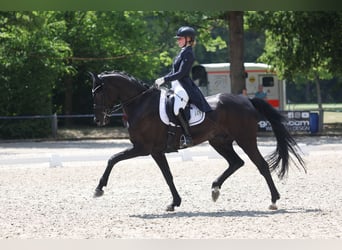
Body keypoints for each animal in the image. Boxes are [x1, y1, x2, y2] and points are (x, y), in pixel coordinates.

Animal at [90, 70, 304, 211]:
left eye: (98, 92)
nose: (99, 120)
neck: (141, 104)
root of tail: (246, 100)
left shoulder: (144, 148)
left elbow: (113, 159)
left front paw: (98, 189)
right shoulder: (154, 151)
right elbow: (167, 175)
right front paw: (174, 202)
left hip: (245, 139)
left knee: (261, 165)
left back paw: (274, 200)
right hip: (219, 141)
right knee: (236, 162)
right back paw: (215, 189)